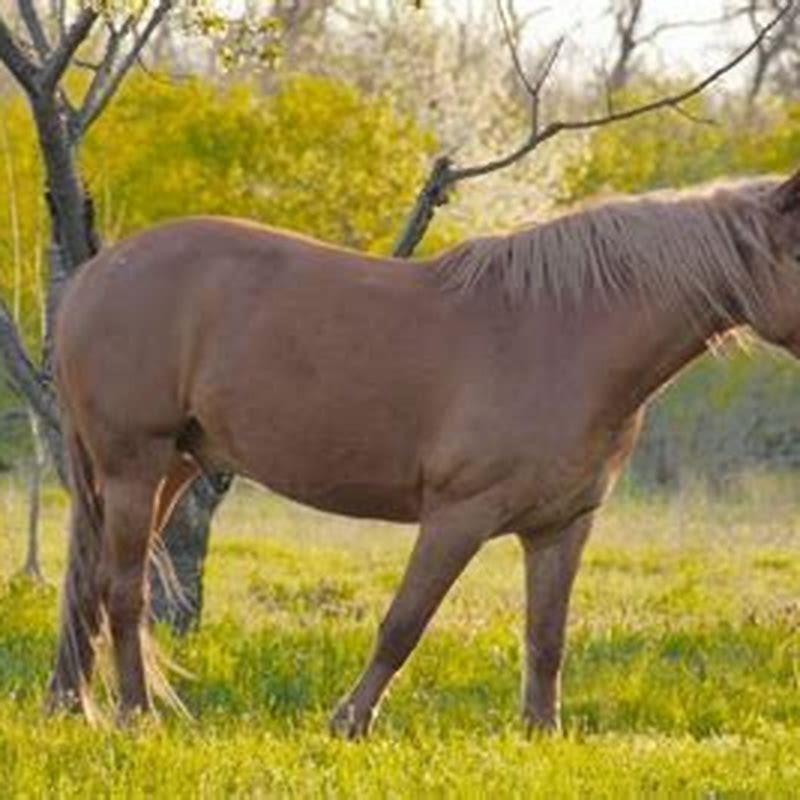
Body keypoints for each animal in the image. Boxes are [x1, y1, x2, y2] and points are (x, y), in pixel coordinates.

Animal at [48, 169, 800, 736]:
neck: (565, 334)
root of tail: (94, 274)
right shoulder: (457, 517)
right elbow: (404, 623)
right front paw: (350, 723)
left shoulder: (562, 527)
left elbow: (547, 638)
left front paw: (541, 734)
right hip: (133, 465)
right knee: (124, 591)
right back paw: (137, 716)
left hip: (169, 467)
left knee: (89, 584)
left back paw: (73, 706)